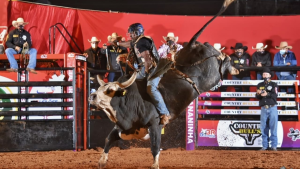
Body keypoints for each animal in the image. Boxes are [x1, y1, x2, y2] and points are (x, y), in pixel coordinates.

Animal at [88, 0, 238, 168]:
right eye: (99, 88)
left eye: (110, 90)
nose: (92, 96)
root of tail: (189, 47)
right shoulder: (122, 128)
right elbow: (108, 139)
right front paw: (102, 161)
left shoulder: (155, 125)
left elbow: (155, 147)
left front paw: (155, 164)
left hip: (211, 74)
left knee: (221, 62)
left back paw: (229, 63)